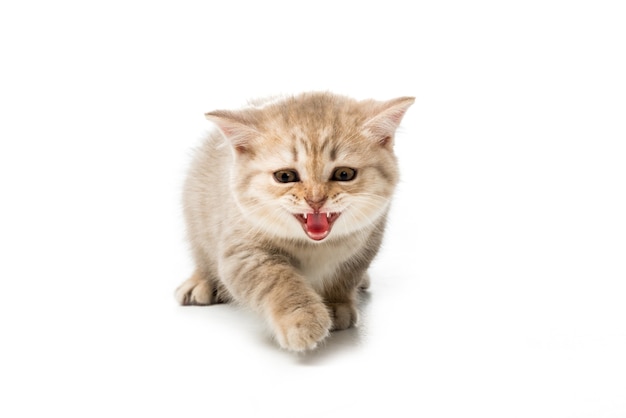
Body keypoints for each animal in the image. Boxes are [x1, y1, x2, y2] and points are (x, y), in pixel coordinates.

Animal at [173, 93, 412, 352]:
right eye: (285, 176)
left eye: (344, 174)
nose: (315, 200)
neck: (316, 247)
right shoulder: (241, 253)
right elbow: (279, 281)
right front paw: (301, 321)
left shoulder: (366, 244)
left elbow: (345, 276)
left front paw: (336, 304)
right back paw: (199, 283)